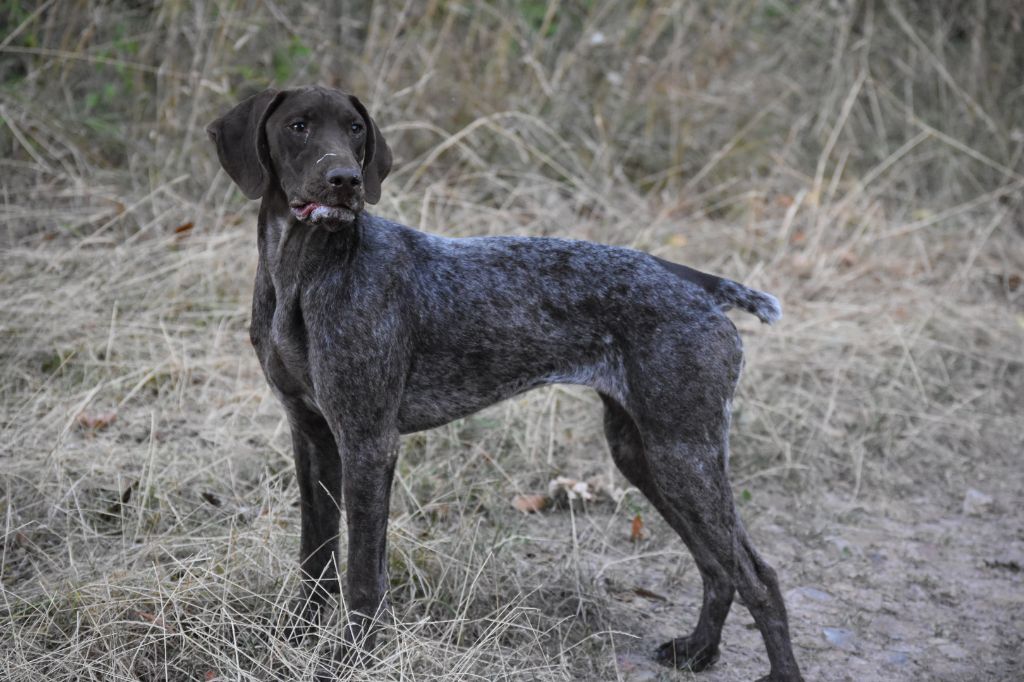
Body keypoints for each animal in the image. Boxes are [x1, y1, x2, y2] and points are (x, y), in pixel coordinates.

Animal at [205, 87, 798, 675]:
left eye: (355, 129)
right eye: (298, 126)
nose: (345, 180)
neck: (303, 270)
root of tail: (700, 286)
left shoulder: (368, 443)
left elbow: (363, 573)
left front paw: (352, 658)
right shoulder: (312, 435)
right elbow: (316, 554)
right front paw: (295, 636)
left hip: (683, 454)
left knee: (759, 577)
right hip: (644, 453)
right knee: (717, 566)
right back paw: (698, 650)